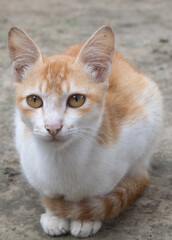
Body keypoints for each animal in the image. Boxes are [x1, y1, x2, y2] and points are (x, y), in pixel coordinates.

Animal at [8, 25, 163, 237]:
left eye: (76, 99)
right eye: (34, 100)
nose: (53, 127)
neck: (61, 161)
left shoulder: (138, 130)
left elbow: (100, 190)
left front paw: (85, 217)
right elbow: (48, 192)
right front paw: (55, 215)